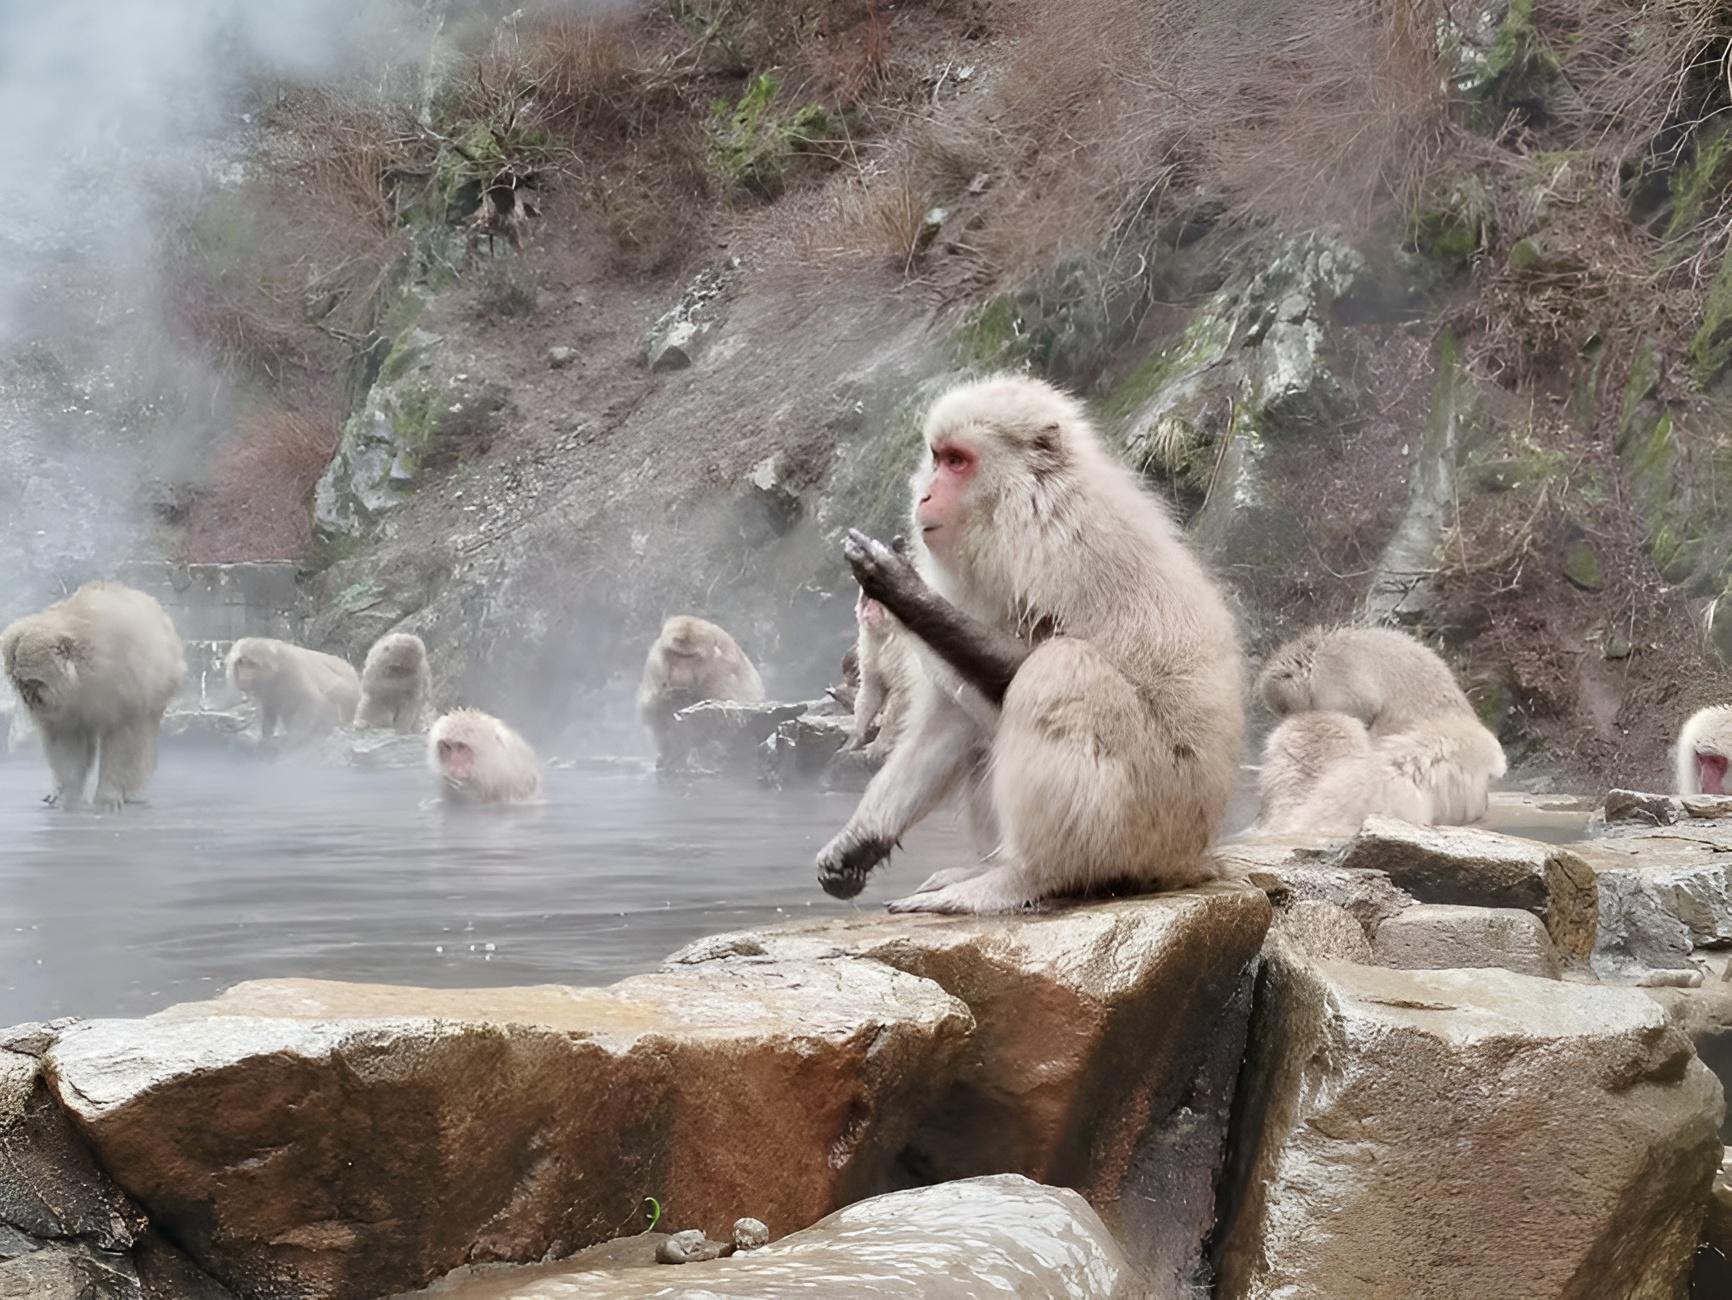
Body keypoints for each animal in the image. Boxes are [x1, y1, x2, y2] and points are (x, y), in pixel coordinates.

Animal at [1, 580, 185, 811]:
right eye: (19, 683)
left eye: (34, 683)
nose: (29, 700)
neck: (82, 676)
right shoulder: (65, 707)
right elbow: (68, 740)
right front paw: (69, 798)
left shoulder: (121, 684)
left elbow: (122, 738)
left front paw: (107, 798)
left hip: (160, 683)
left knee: (144, 735)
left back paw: (134, 792)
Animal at [225, 637, 361, 746]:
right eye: (241, 663)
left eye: (252, 664)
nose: (244, 674)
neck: (273, 674)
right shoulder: (266, 690)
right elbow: (270, 709)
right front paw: (266, 738)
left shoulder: (291, 669)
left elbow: (312, 700)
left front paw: (294, 738)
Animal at [636, 615, 766, 759]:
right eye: (676, 654)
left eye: (690, 656)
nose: (679, 674)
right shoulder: (654, 664)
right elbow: (651, 709)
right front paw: (671, 697)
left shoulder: (725, 673)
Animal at [815, 372, 1245, 915]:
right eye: (937, 457)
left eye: (958, 461)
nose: (926, 495)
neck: (1017, 505)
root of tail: (1195, 854)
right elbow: (950, 721)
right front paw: (859, 841)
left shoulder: (1061, 551)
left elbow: (1025, 663)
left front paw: (905, 592)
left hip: (1152, 817)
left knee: (1059, 672)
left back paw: (1023, 876)